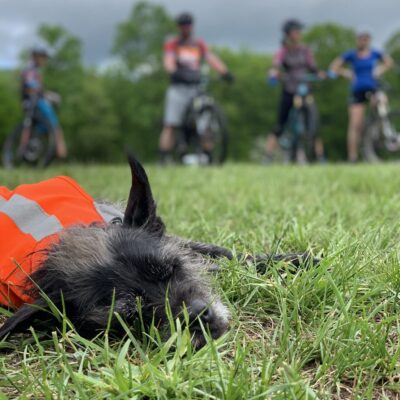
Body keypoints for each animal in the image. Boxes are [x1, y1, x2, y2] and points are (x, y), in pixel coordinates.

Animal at [0, 156, 313, 348]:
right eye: (130, 315)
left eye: (170, 268)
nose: (198, 316)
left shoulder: (179, 247)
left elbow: (231, 258)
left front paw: (295, 259)